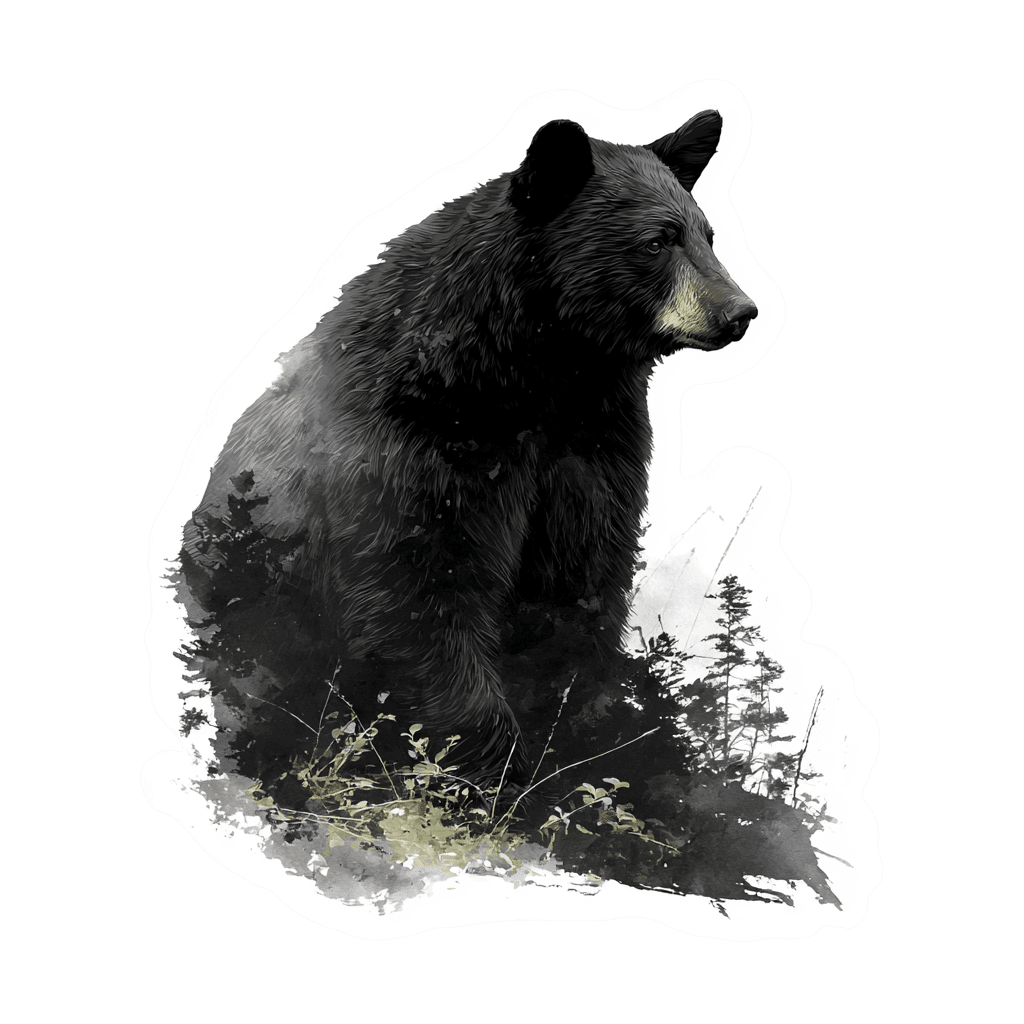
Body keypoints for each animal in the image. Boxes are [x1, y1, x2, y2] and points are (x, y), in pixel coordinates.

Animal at [182, 110, 757, 784]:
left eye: (708, 235)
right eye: (657, 241)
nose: (740, 311)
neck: (540, 373)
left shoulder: (593, 446)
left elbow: (579, 580)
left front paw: (584, 746)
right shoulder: (418, 439)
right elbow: (420, 586)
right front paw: (494, 772)